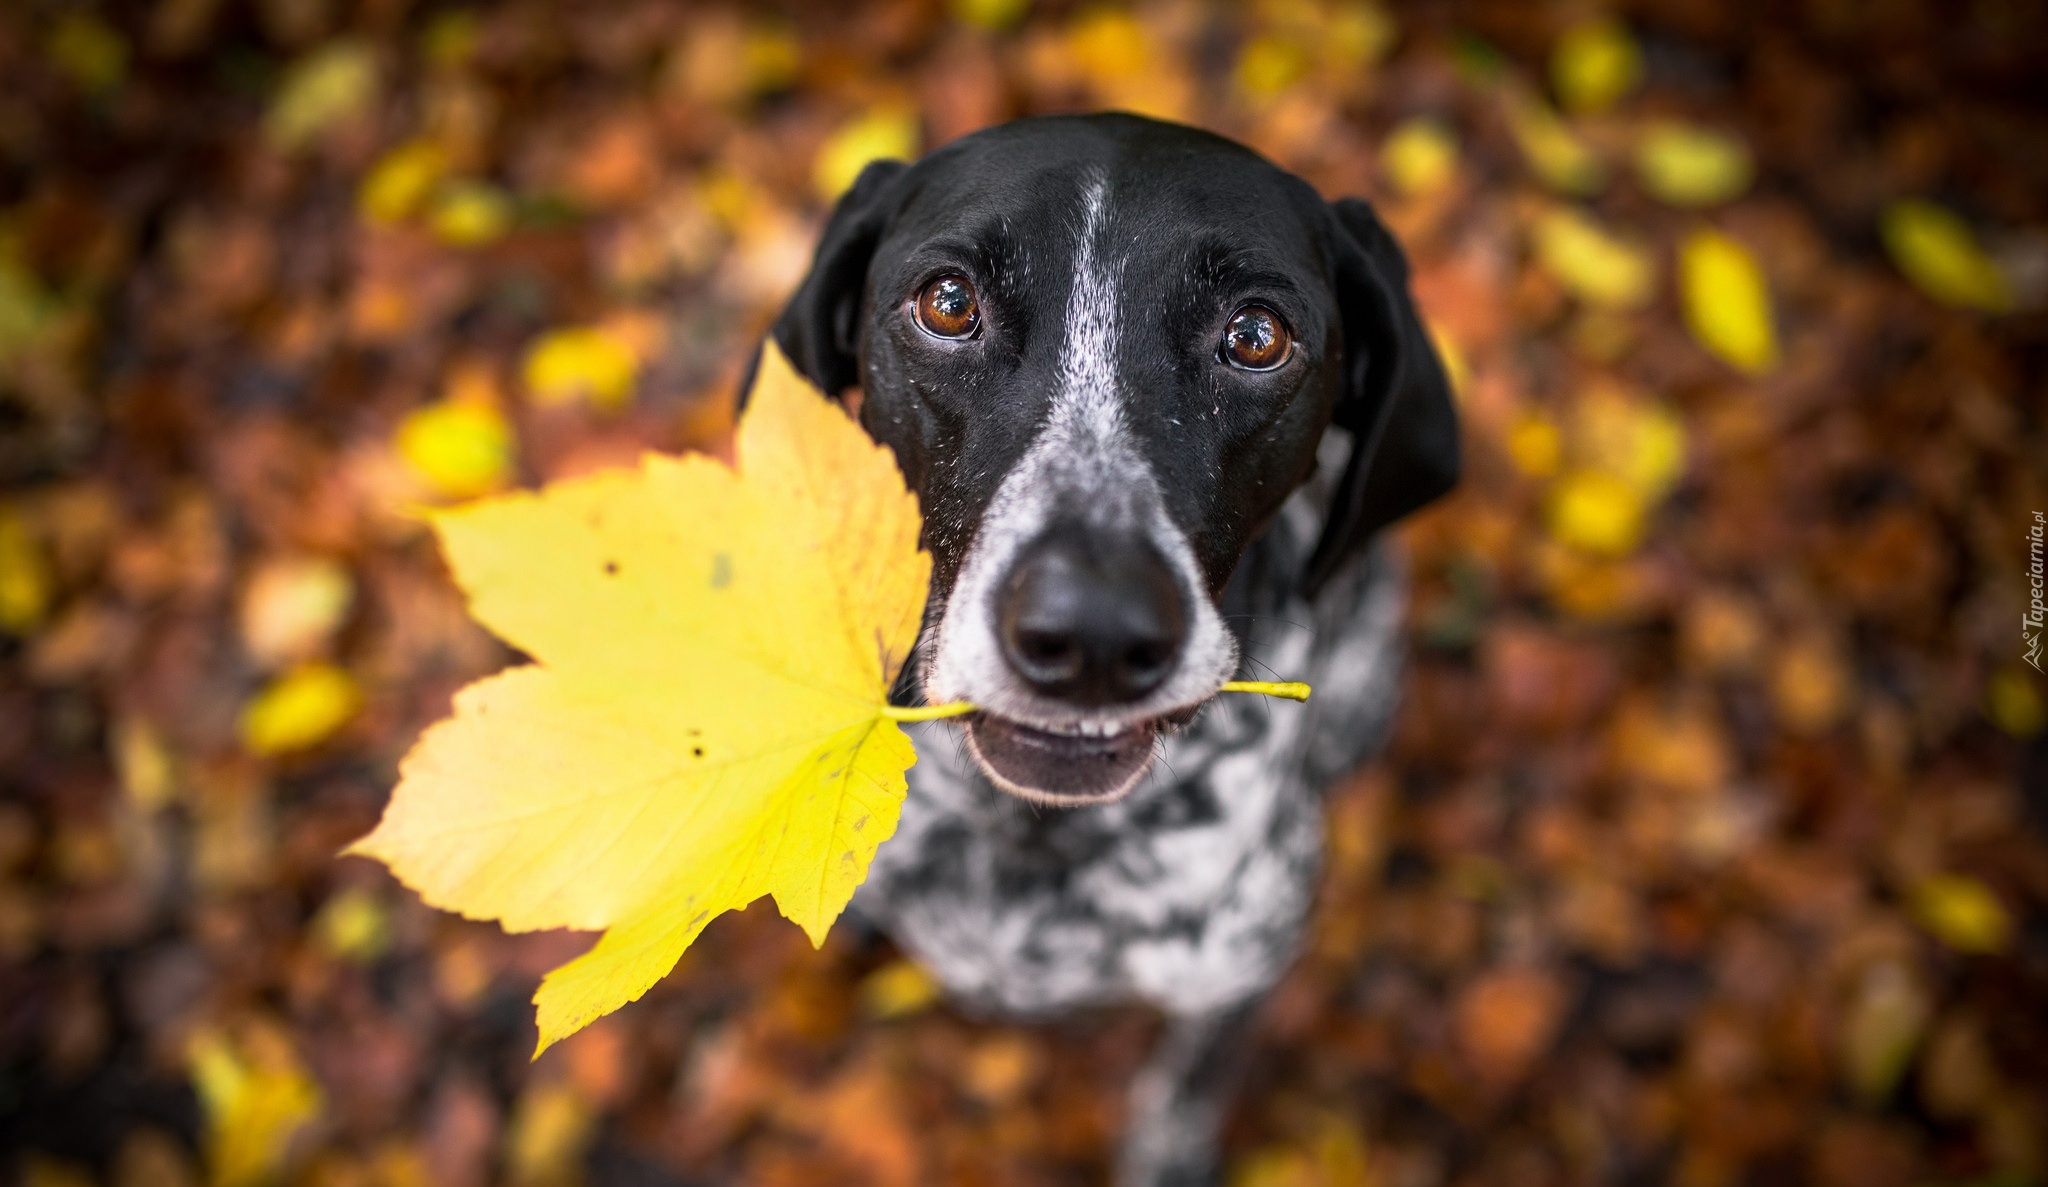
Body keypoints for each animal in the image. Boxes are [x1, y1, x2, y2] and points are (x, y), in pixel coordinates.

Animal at [765, 113, 1458, 1187]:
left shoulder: (1235, 971)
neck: (1029, 838)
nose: (1090, 631)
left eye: (1256, 335)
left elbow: (1184, 1085)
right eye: (948, 303)